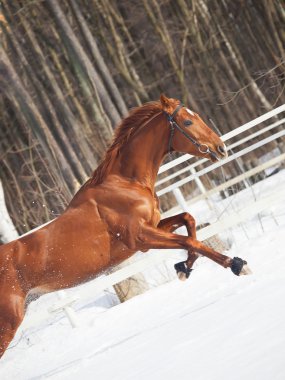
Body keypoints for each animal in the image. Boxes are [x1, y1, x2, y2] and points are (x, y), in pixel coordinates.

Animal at [0, 93, 251, 358]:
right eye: (187, 122)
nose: (221, 148)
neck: (125, 183)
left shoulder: (153, 228)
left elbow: (188, 221)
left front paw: (184, 268)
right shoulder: (140, 238)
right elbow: (190, 240)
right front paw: (237, 265)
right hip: (7, 324)